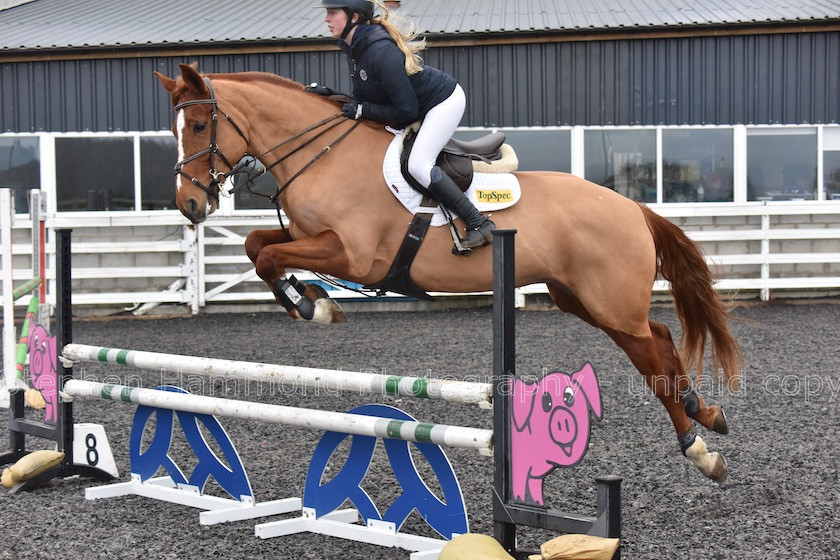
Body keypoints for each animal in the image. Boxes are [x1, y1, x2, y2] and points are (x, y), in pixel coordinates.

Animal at [156, 64, 740, 486]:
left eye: (201, 126)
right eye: (175, 130)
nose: (189, 205)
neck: (322, 154)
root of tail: (631, 206)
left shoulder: (352, 255)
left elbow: (269, 258)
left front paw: (313, 305)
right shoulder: (312, 239)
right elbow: (258, 248)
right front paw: (312, 301)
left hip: (608, 301)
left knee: (651, 357)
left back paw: (700, 449)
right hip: (582, 299)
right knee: (659, 337)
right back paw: (706, 412)